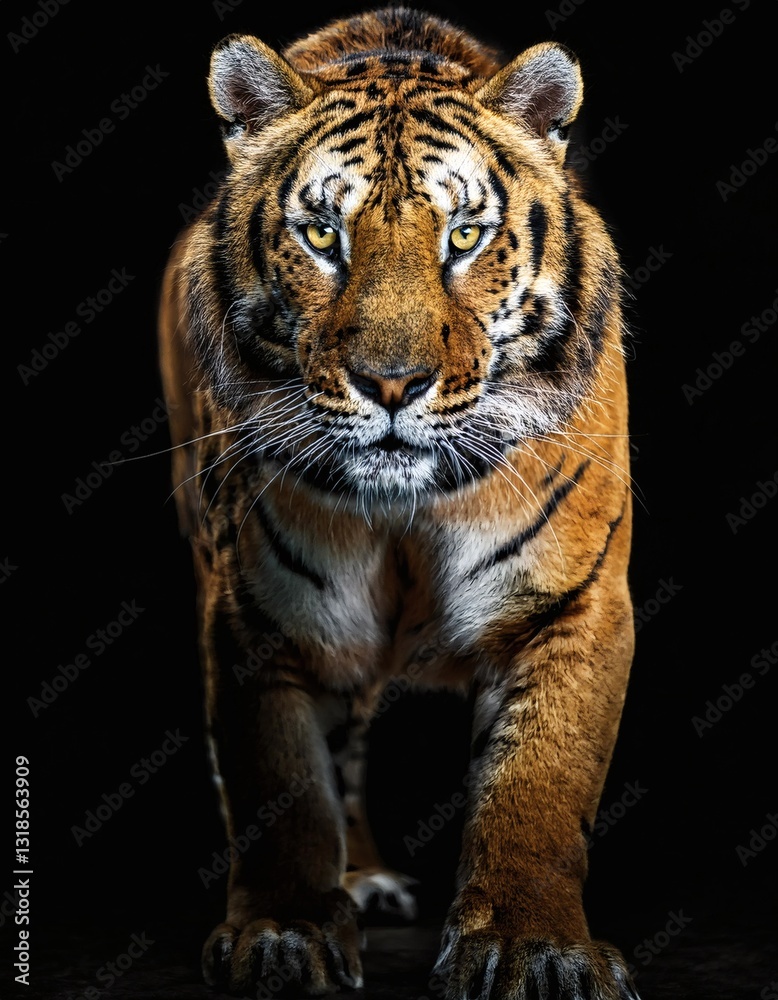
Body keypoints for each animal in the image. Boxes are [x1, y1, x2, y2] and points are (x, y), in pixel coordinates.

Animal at [157, 6, 640, 998]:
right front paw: (284, 934)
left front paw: (535, 948)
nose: (390, 384)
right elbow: (280, 789)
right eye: (321, 237)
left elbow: (540, 784)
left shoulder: (573, 603)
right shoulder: (258, 613)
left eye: (463, 238)